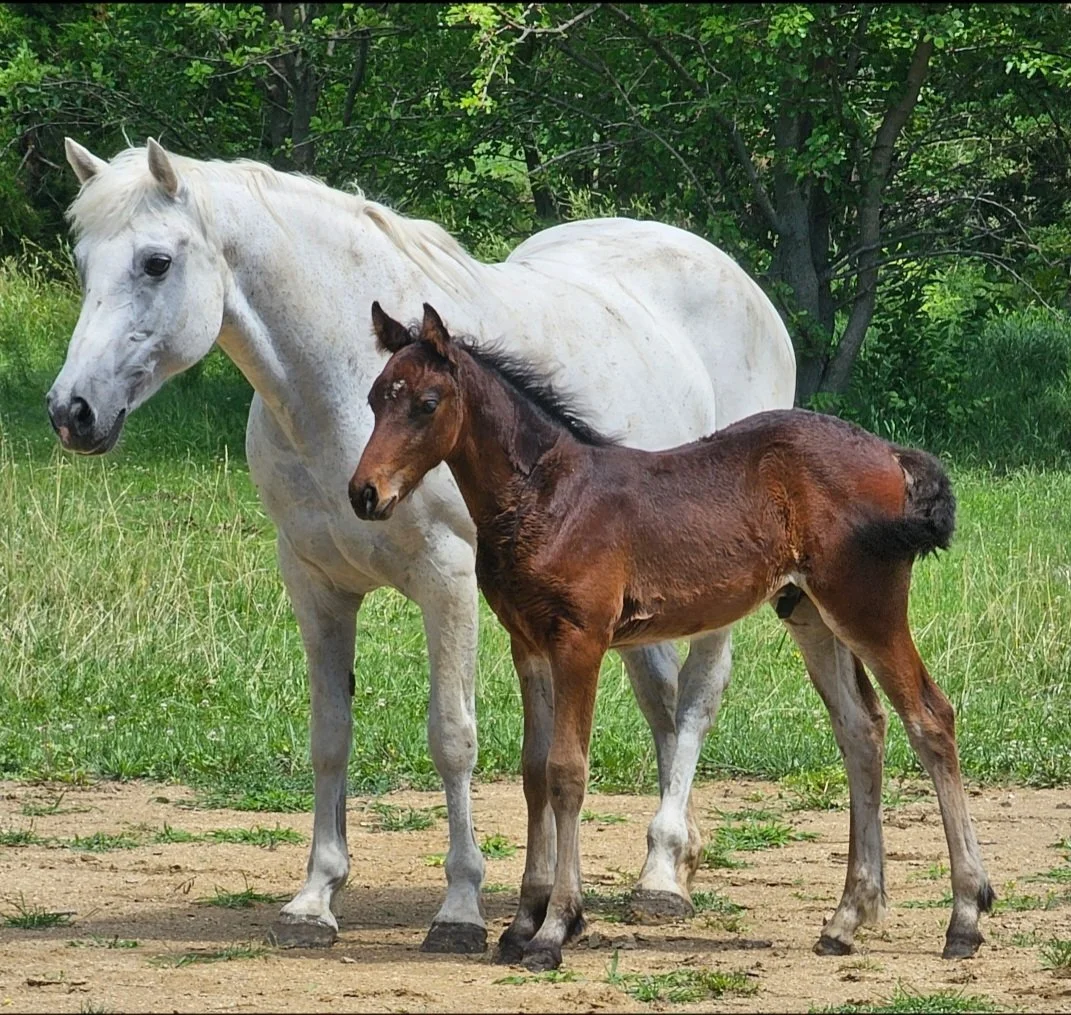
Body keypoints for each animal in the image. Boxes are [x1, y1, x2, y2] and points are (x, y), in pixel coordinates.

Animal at [45, 139, 797, 952]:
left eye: (155, 262)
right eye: (83, 261)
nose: (71, 411)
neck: (335, 389)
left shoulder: (449, 579)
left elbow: (452, 737)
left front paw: (460, 909)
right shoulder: (314, 582)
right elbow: (330, 735)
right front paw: (314, 898)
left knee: (694, 702)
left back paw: (660, 877)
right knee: (660, 702)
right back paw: (672, 860)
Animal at [351, 302, 994, 972]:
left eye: (427, 403)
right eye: (374, 397)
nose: (365, 493)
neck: (547, 497)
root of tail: (891, 453)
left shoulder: (581, 640)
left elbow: (566, 771)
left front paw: (555, 929)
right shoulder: (526, 643)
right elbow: (532, 772)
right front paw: (522, 923)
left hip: (867, 606)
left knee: (930, 717)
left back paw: (965, 917)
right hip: (812, 614)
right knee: (861, 729)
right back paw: (846, 920)